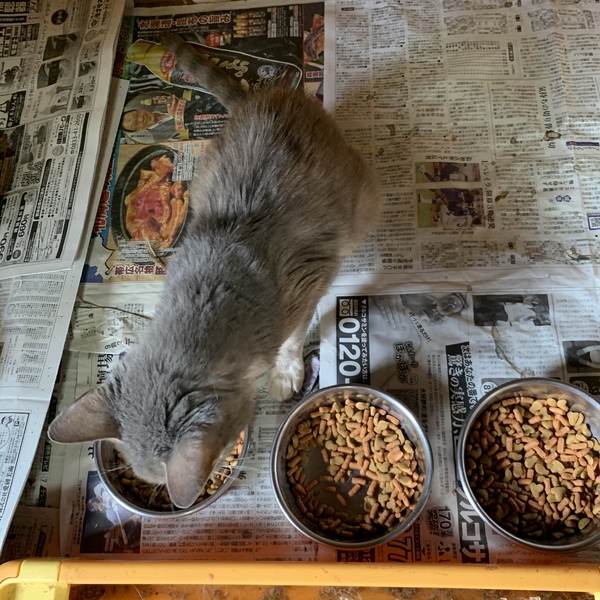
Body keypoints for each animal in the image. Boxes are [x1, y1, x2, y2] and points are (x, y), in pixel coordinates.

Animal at [48, 34, 381, 509]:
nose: (184, 497)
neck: (210, 290)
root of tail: (257, 99)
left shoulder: (307, 284)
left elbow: (292, 340)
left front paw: (286, 372)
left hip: (360, 202)